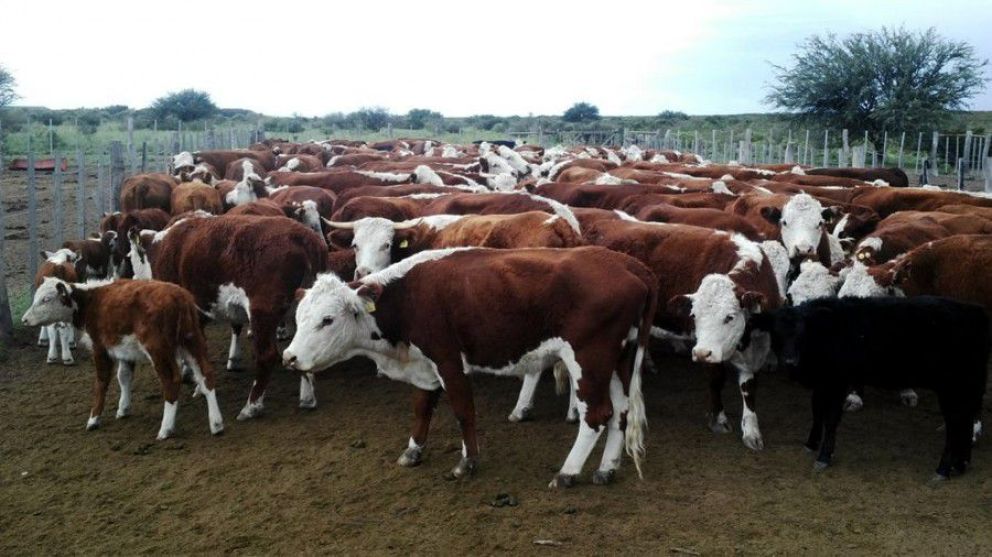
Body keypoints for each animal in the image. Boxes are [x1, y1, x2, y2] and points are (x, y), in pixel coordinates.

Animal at [21, 278, 224, 440]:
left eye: (46, 299)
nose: (24, 320)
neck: (91, 301)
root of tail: (179, 297)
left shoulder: (100, 347)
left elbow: (101, 381)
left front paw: (93, 419)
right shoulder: (125, 351)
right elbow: (124, 377)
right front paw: (123, 409)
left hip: (158, 349)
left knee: (171, 380)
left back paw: (165, 429)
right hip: (192, 341)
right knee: (206, 374)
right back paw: (216, 424)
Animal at [128, 215, 328, 419]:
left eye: (131, 257)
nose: (133, 280)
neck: (161, 248)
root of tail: (304, 237)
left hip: (262, 311)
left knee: (267, 356)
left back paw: (251, 406)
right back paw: (308, 398)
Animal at [282, 247, 655, 487]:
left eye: (327, 320)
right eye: (299, 317)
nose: (289, 357)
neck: (409, 296)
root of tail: (631, 266)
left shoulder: (449, 360)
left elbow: (463, 411)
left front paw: (467, 462)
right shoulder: (425, 367)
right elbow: (422, 409)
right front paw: (413, 451)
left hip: (588, 360)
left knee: (596, 415)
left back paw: (567, 473)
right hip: (619, 362)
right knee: (620, 412)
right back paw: (607, 469)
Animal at [752, 296, 989, 478]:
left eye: (802, 332)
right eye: (776, 332)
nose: (790, 361)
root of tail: (975, 311)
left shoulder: (837, 382)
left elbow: (831, 418)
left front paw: (824, 456)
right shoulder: (823, 382)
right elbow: (816, 411)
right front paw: (811, 443)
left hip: (951, 388)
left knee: (955, 426)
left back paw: (943, 469)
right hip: (966, 388)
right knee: (965, 422)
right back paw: (961, 464)